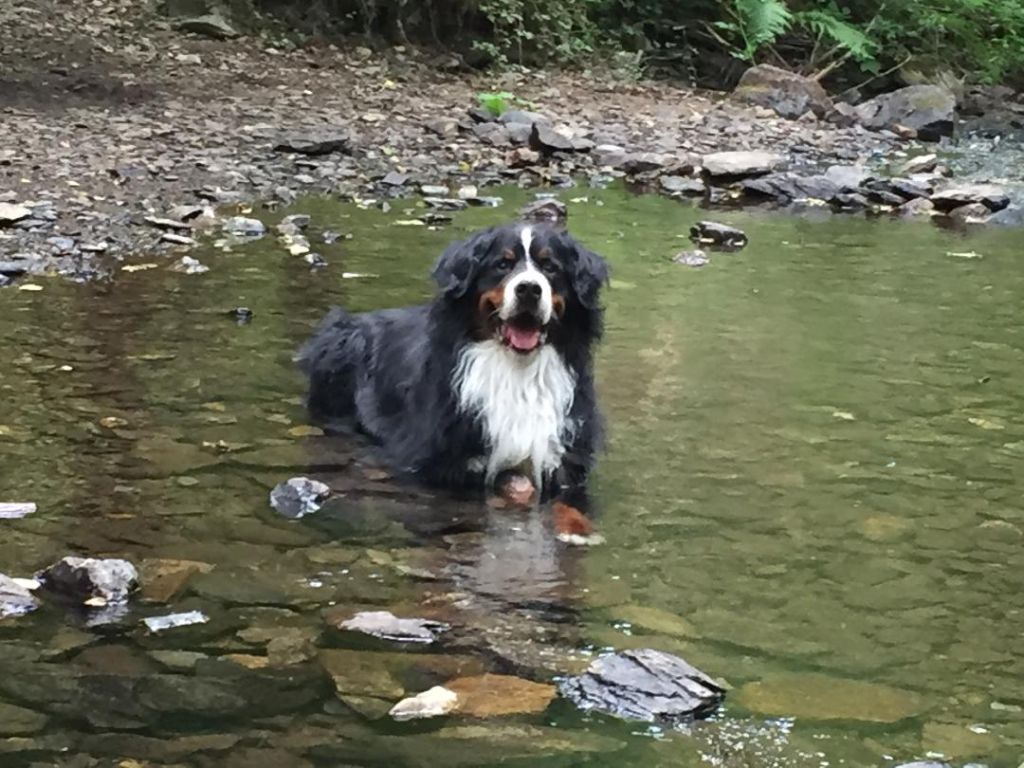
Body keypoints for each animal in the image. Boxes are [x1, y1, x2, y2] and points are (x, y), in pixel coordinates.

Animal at [299, 221, 610, 540]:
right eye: (502, 264)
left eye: (550, 267)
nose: (528, 289)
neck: (517, 370)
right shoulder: (445, 465)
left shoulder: (563, 465)